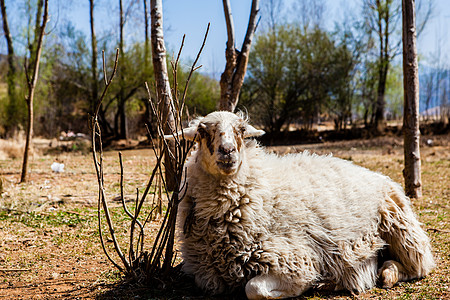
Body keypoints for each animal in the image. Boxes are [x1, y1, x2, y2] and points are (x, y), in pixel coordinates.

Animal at [164, 110, 432, 300]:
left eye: (241, 129)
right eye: (202, 131)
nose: (227, 151)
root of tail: (374, 174)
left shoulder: (295, 260)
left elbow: (254, 289)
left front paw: (311, 285)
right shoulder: (208, 275)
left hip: (401, 228)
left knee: (419, 267)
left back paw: (387, 273)